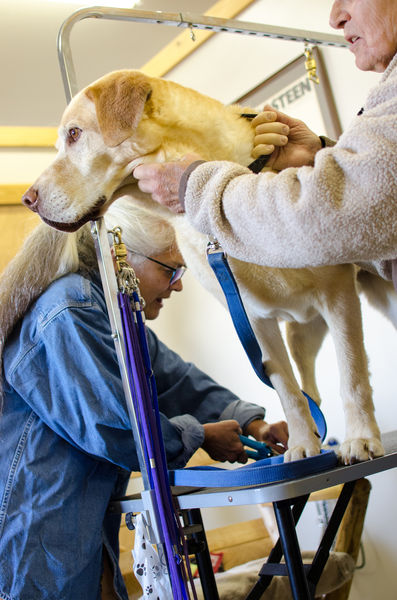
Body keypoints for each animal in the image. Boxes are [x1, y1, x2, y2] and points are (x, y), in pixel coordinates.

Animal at [22, 70, 386, 464]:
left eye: (74, 134)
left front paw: (361, 438)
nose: (28, 199)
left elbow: (352, 374)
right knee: (307, 385)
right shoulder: (254, 321)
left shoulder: (338, 294)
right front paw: (302, 444)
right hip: (301, 329)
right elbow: (288, 392)